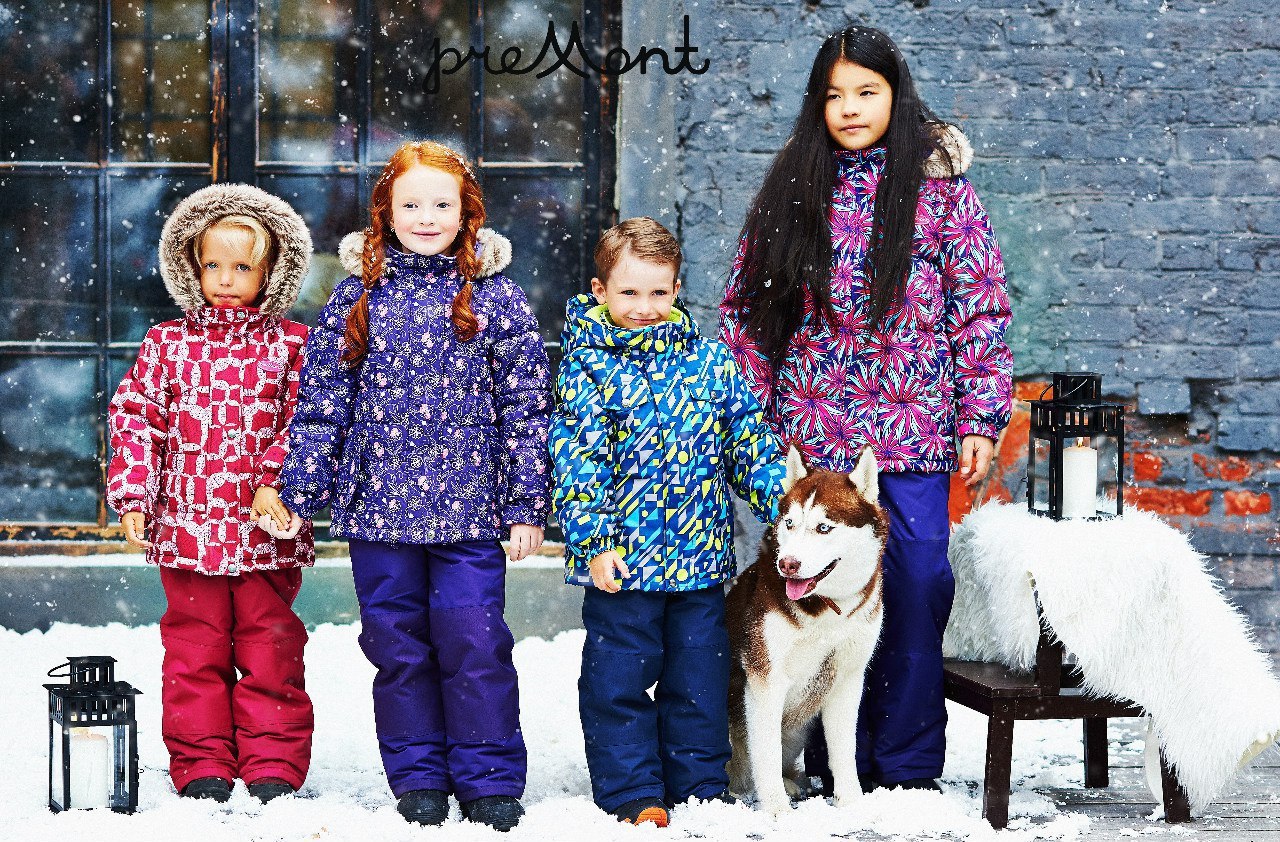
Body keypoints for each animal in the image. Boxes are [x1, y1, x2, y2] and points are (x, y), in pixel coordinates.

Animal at [725, 444, 886, 815]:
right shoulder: (766, 679)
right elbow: (766, 753)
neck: (827, 610)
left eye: (824, 527)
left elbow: (843, 750)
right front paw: (776, 811)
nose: (788, 564)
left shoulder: (847, 678)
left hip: (798, 728)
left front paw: (851, 802)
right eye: (790, 523)